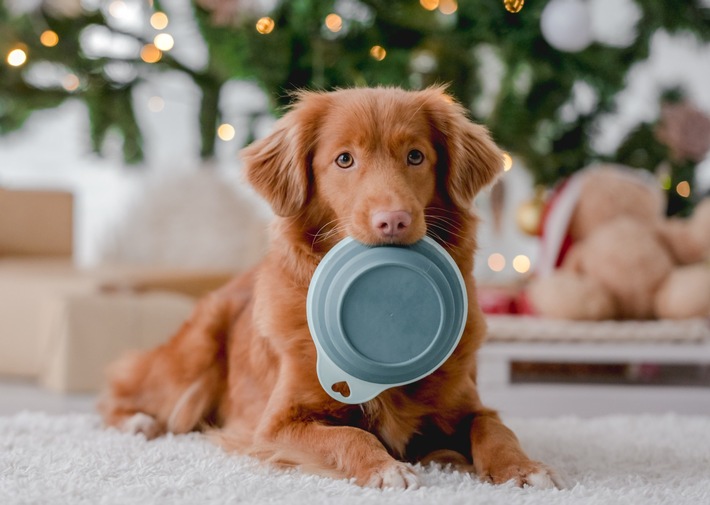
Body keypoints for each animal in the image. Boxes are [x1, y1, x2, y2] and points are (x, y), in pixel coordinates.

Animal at [97, 85, 560, 488]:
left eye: (415, 156)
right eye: (344, 160)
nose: (393, 221)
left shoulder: (467, 406)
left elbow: (494, 429)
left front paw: (523, 469)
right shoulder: (276, 425)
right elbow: (350, 435)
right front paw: (386, 469)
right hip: (195, 355)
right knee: (119, 388)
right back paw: (138, 422)